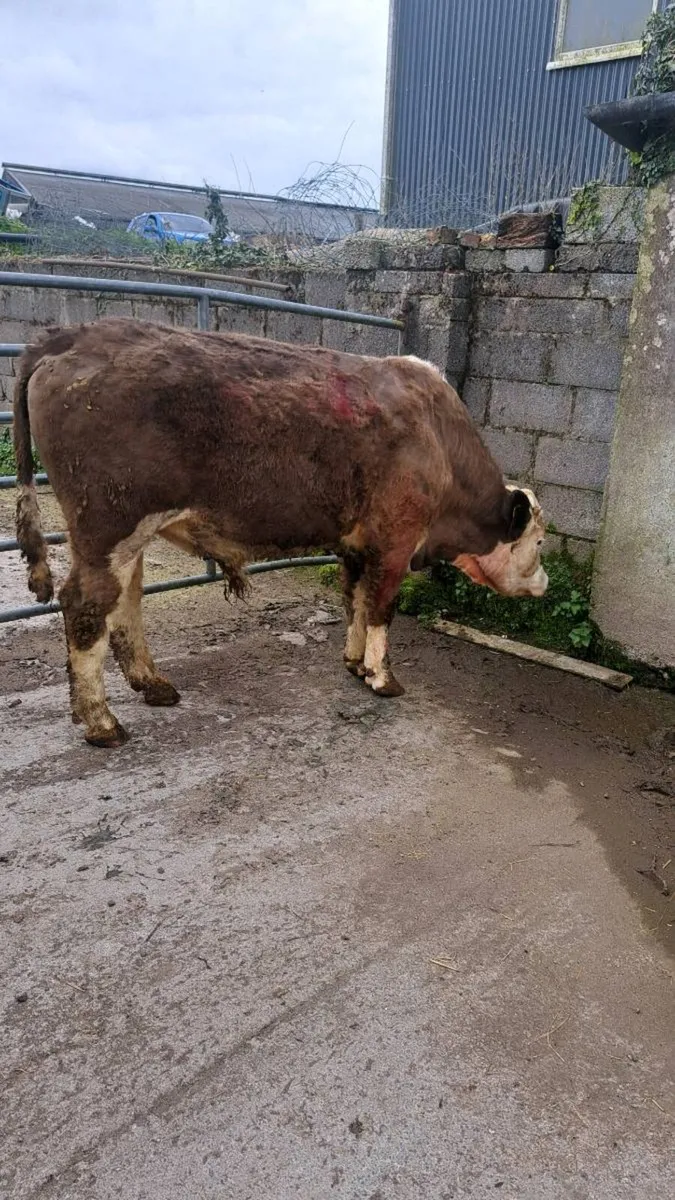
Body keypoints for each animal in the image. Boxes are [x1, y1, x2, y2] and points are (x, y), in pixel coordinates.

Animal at [13, 318, 547, 748]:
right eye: (540, 542)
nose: (546, 583)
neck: (437, 438)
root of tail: (73, 335)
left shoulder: (357, 546)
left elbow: (354, 600)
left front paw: (355, 663)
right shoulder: (395, 541)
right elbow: (380, 610)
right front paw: (382, 678)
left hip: (126, 540)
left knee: (125, 604)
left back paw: (153, 685)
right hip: (108, 528)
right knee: (85, 608)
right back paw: (101, 723)